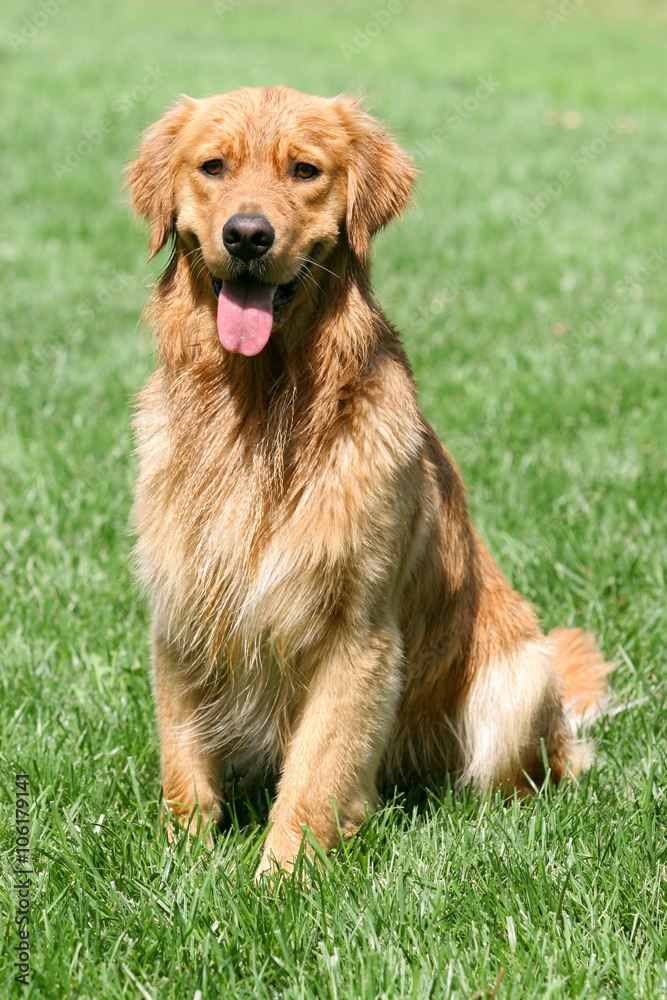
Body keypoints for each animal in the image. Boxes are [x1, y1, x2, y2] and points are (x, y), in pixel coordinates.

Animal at [125, 88, 612, 876]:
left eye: (304, 170)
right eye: (213, 166)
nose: (247, 236)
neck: (263, 408)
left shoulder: (356, 630)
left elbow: (316, 773)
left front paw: (280, 880)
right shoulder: (181, 605)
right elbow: (183, 762)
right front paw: (181, 862)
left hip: (520, 679)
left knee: (531, 776)